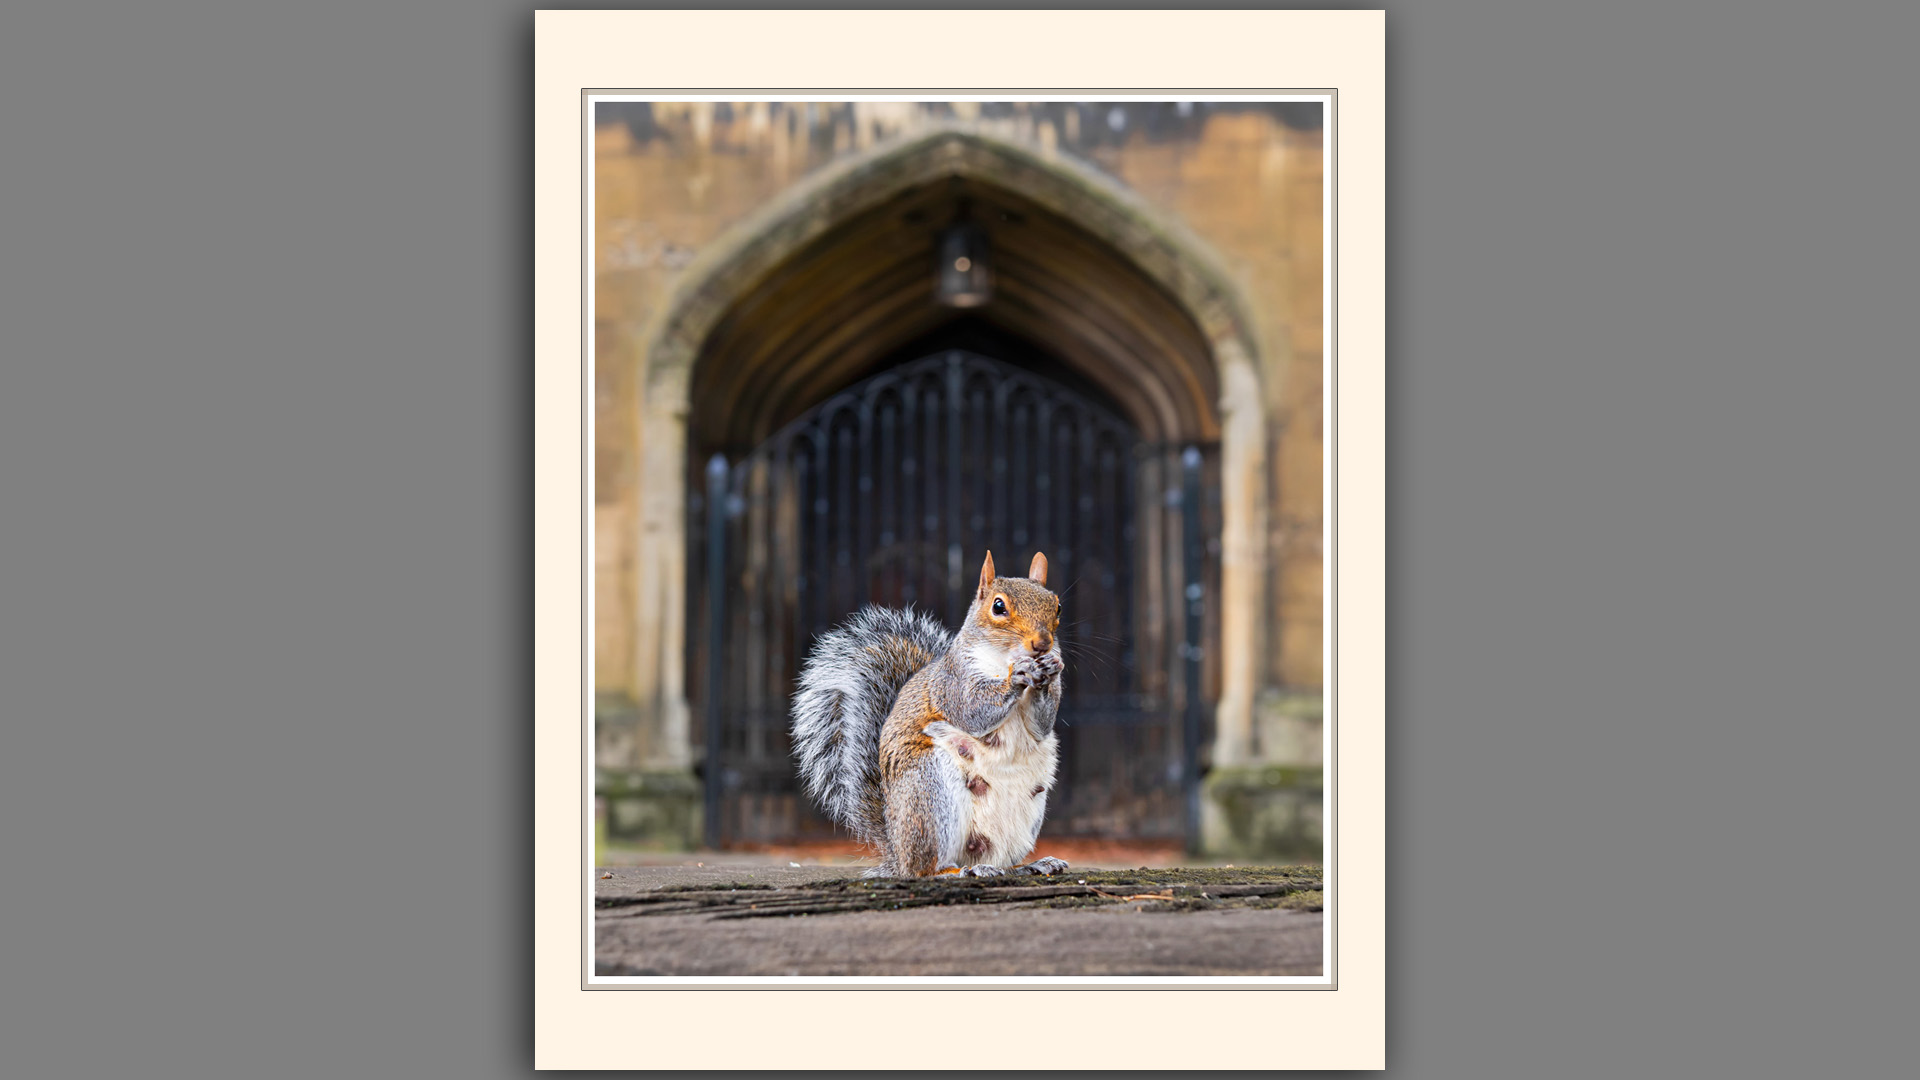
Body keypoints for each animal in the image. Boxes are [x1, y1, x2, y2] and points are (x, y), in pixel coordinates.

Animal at [790, 550, 1070, 878]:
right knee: (923, 868)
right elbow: (973, 711)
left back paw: (1029, 865)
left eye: (1057, 606)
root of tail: (897, 853)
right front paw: (1019, 675)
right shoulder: (952, 684)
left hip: (1027, 813)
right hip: (930, 791)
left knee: (1002, 860)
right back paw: (957, 871)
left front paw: (1050, 670)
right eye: (998, 606)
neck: (1004, 659)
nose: (1042, 644)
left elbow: (1040, 726)